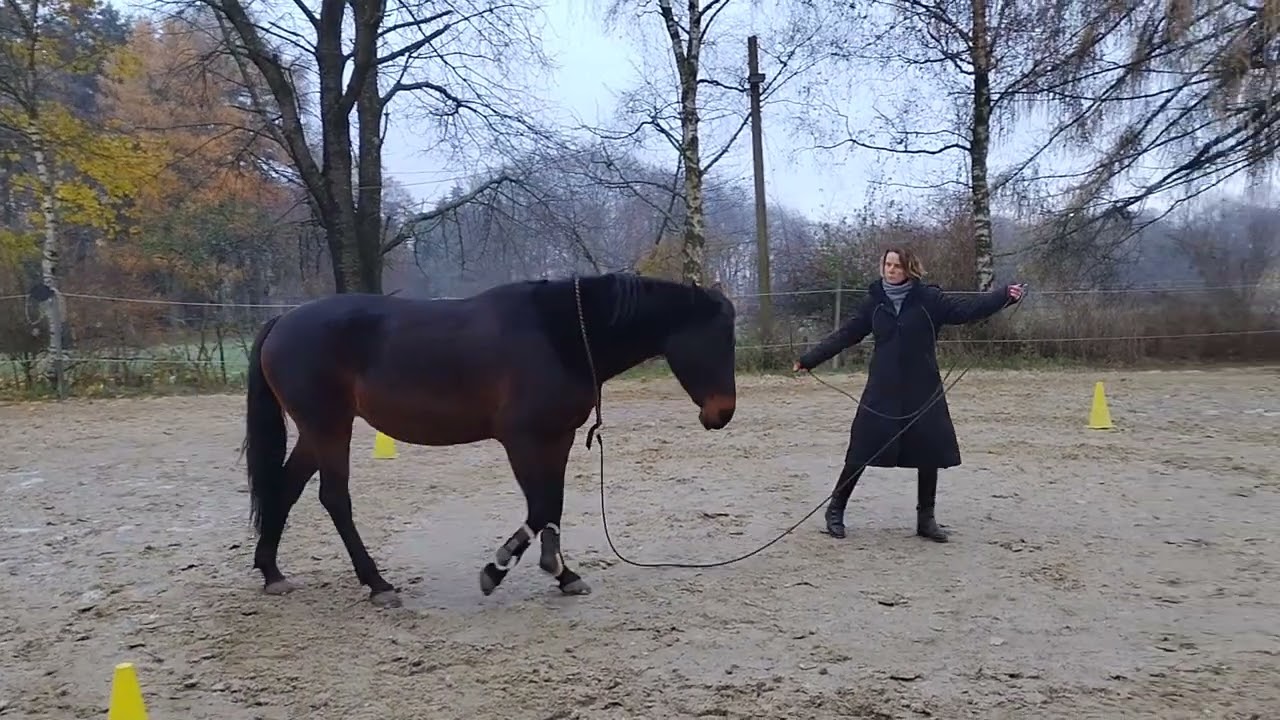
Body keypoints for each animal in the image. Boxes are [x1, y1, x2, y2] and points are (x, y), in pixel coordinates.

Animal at [241, 272, 738, 608]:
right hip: (329, 426)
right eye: (716, 339)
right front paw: (496, 569)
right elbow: (539, 506)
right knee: (334, 498)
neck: (560, 334)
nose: (722, 413)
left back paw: (272, 572)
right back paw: (377, 584)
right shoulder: (521, 439)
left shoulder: (557, 437)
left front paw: (562, 573)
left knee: (286, 488)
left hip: (316, 429)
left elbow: (552, 506)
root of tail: (283, 320)